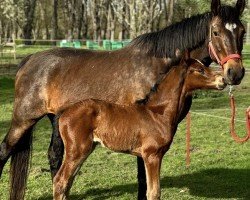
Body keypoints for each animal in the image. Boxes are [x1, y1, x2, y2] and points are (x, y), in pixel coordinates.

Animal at [53, 58, 226, 200]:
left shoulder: (155, 156)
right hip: (77, 150)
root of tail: (64, 113)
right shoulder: (152, 155)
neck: (158, 113)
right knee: (60, 181)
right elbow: (154, 193)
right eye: (200, 69)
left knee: (67, 183)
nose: (223, 80)